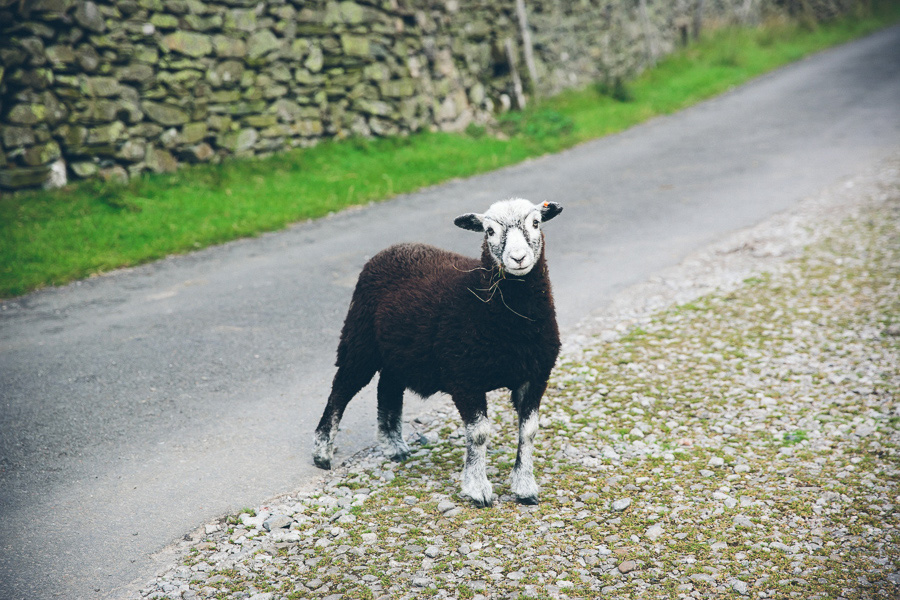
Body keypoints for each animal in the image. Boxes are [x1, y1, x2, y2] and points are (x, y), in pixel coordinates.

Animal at [312, 198, 563, 507]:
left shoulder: (536, 374)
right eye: (489, 231)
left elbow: (528, 432)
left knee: (388, 389)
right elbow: (479, 434)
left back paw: (393, 446)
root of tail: (394, 247)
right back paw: (322, 453)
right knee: (341, 390)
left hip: (400, 351)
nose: (518, 258)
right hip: (360, 338)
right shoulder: (465, 376)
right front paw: (478, 489)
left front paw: (525, 488)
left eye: (536, 223)